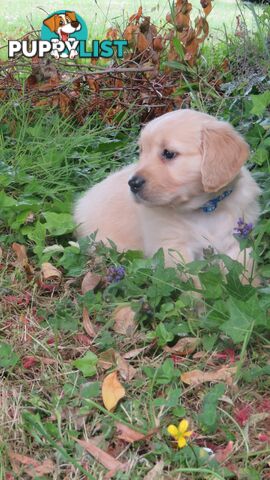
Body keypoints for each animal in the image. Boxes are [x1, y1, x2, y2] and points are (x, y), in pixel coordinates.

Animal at [73, 107, 260, 276]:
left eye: (168, 153)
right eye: (141, 152)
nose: (133, 183)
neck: (206, 209)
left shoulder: (238, 241)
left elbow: (243, 272)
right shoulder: (173, 248)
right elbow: (191, 281)